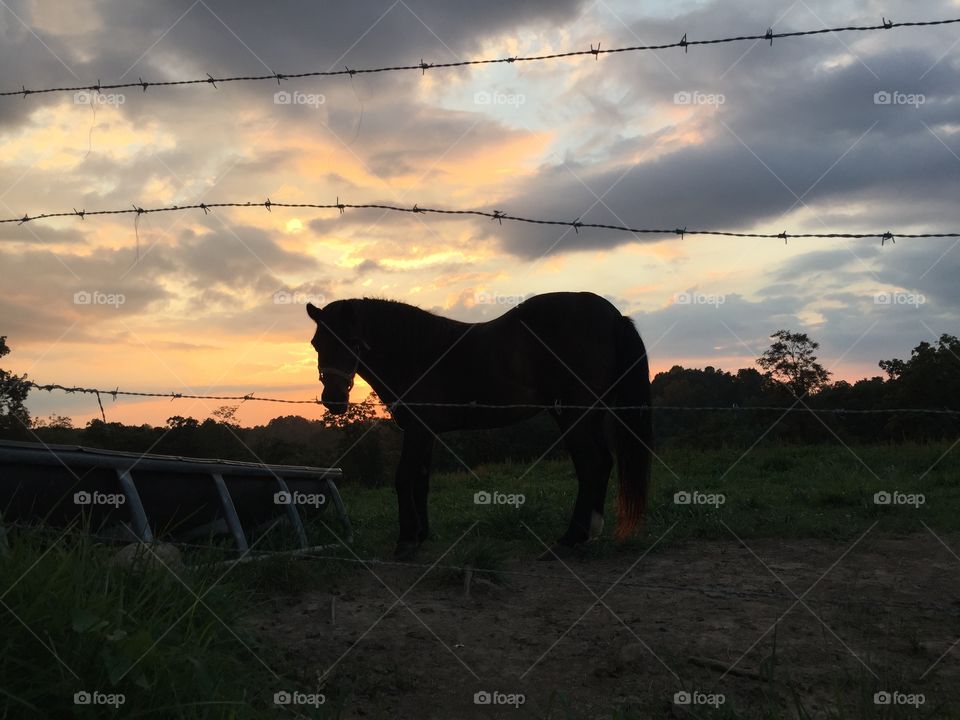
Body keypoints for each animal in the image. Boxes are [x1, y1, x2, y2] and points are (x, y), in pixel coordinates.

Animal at [306, 291, 652, 559]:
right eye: (316, 343)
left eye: (352, 341)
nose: (334, 400)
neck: (418, 352)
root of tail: (613, 316)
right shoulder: (427, 433)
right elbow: (421, 481)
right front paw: (420, 535)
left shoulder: (417, 431)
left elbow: (403, 478)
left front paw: (405, 542)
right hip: (590, 415)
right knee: (602, 463)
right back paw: (589, 533)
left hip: (573, 415)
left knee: (590, 465)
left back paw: (570, 538)